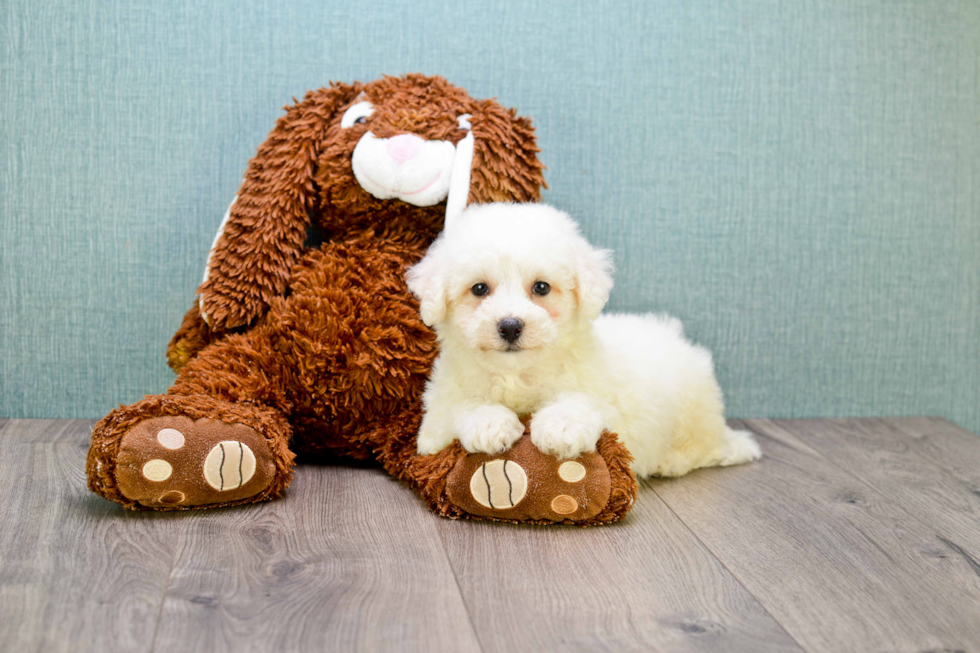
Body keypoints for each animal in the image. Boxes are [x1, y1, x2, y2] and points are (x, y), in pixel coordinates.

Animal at [402, 201, 760, 476]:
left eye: (541, 287)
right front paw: (489, 424)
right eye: (479, 289)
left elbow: (584, 401)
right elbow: (459, 407)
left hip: (693, 410)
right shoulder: (437, 417)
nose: (510, 326)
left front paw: (561, 427)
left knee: (703, 447)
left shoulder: (601, 393)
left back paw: (672, 460)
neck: (518, 375)